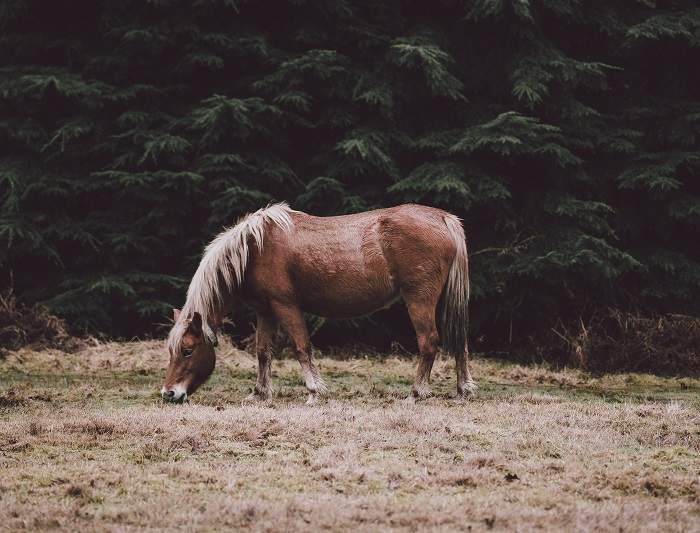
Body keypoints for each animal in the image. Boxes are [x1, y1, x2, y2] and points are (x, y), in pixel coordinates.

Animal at [161, 203, 476, 404]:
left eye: (188, 350)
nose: (169, 394)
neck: (254, 248)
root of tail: (443, 218)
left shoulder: (286, 306)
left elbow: (302, 347)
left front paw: (313, 392)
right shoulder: (265, 311)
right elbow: (263, 352)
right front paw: (260, 393)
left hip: (419, 299)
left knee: (429, 343)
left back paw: (414, 394)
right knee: (460, 342)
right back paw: (463, 390)